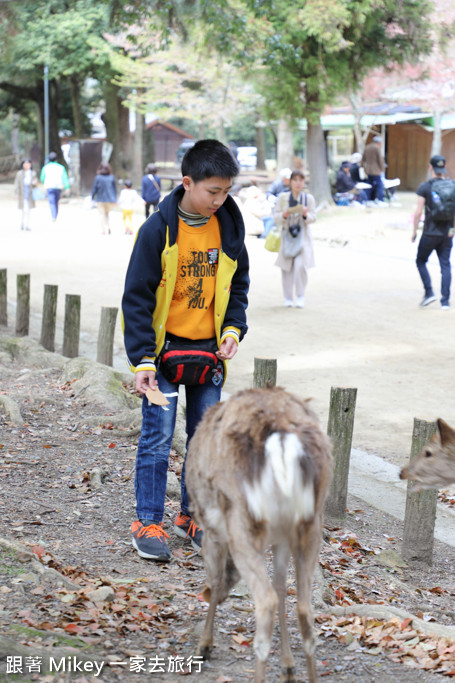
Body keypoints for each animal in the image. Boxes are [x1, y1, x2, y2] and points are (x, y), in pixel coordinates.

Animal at [186, 388, 334, 680]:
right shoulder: (281, 539)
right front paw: (288, 665)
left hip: (243, 522)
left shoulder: (214, 532)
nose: (207, 594)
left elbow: (218, 578)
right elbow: (281, 586)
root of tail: (283, 438)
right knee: (304, 608)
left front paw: (204, 646)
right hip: (312, 524)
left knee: (265, 603)